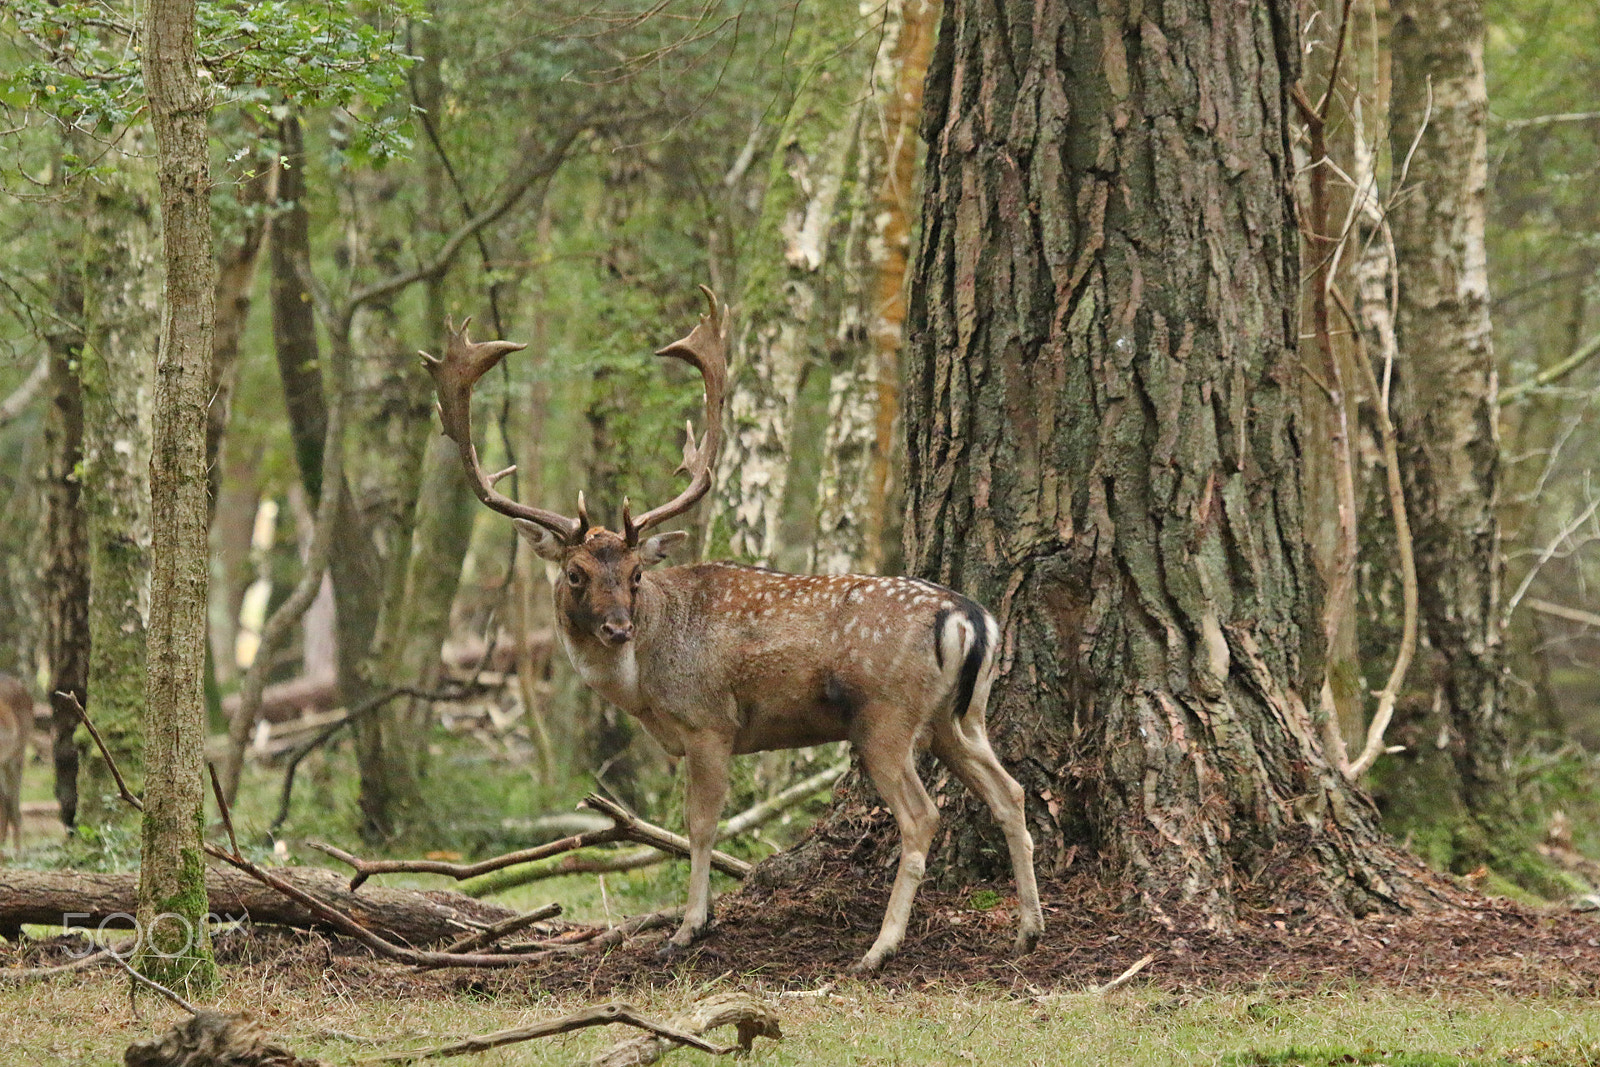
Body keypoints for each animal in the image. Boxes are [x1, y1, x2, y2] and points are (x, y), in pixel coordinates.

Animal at [419, 288, 1043, 972]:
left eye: (636, 573)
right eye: (577, 573)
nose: (617, 628)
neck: (646, 689)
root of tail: (970, 618)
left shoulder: (709, 722)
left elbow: (699, 825)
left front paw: (689, 926)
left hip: (886, 715)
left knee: (922, 816)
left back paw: (879, 949)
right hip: (958, 719)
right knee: (1011, 792)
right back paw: (1028, 930)